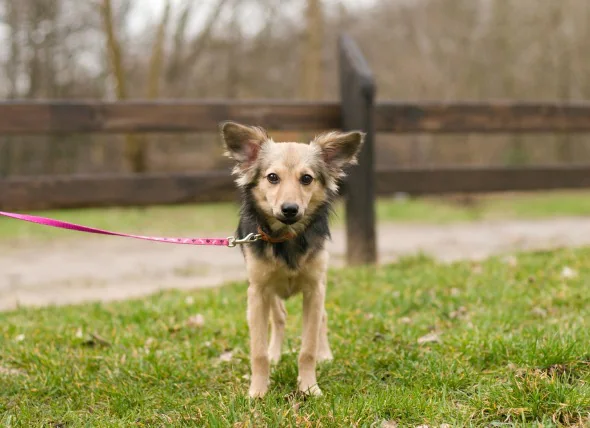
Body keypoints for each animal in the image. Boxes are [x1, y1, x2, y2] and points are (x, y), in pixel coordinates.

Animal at [221, 120, 366, 398]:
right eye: (272, 177)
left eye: (306, 178)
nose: (289, 209)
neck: (286, 237)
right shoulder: (257, 292)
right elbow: (258, 352)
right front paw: (257, 391)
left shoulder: (314, 289)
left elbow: (307, 348)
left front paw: (309, 387)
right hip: (271, 294)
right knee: (279, 318)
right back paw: (275, 355)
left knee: (322, 319)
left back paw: (325, 355)